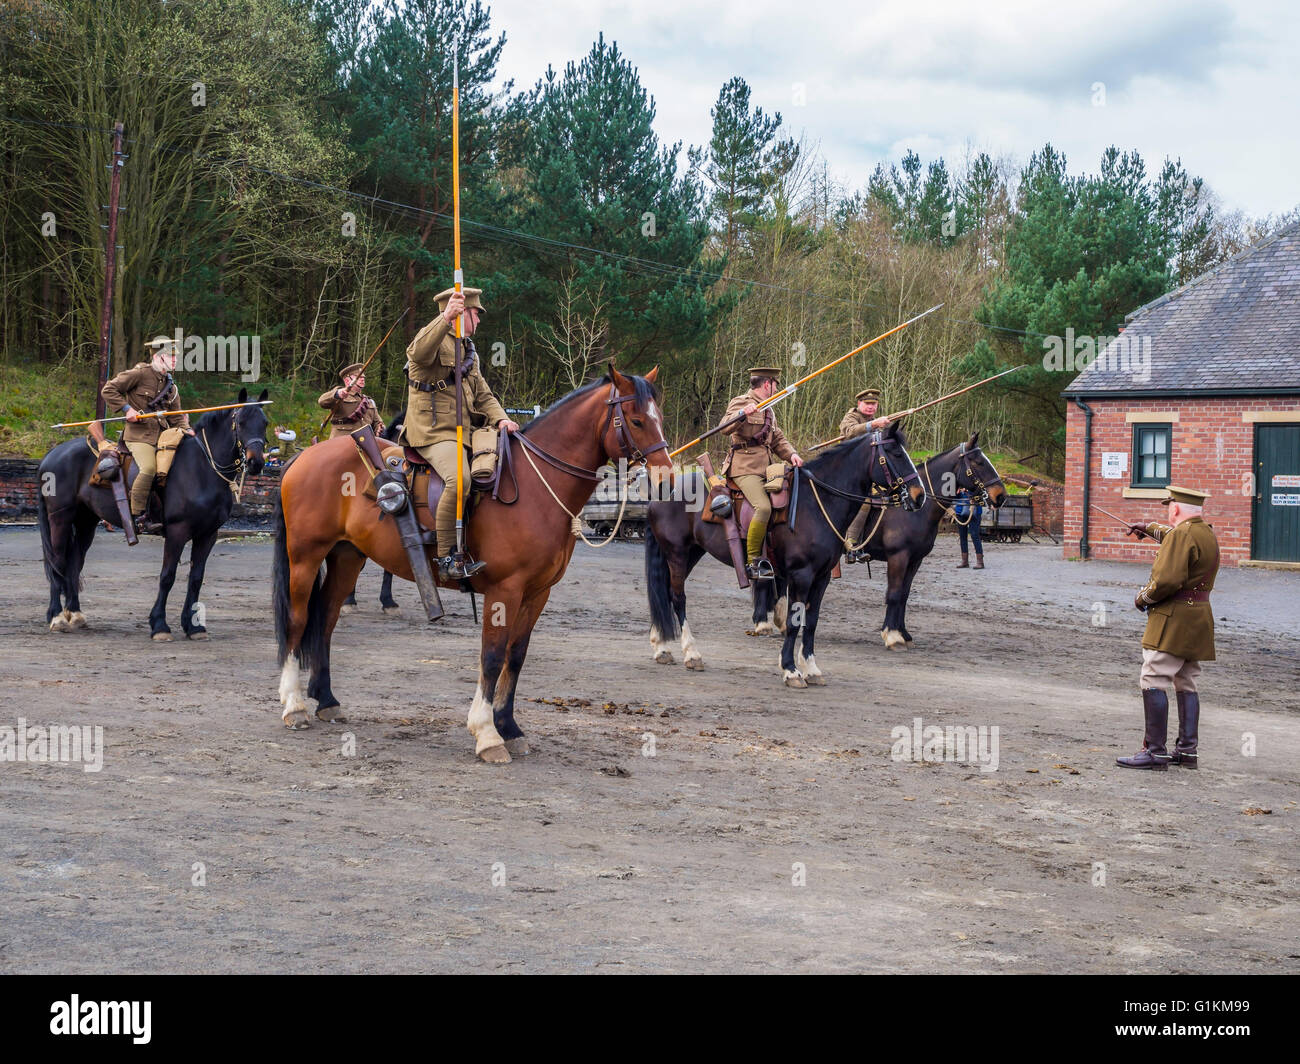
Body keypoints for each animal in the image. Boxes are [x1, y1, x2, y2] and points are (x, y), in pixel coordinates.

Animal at [37, 390, 269, 637]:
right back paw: (57, 616)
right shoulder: (178, 531)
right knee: (57, 561)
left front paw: (193, 626)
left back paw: (75, 614)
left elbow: (196, 578)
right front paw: (159, 624)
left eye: (264, 423)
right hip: (59, 519)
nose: (256, 462)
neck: (202, 467)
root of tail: (52, 454)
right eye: (241, 422)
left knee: (74, 563)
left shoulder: (208, 534)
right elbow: (167, 576)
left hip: (85, 522)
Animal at [267, 364, 665, 764]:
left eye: (658, 418)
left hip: (347, 557)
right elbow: (491, 657)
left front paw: (509, 727)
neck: (536, 485)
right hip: (305, 556)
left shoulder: (537, 593)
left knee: (326, 619)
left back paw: (326, 700)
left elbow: (515, 657)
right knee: (298, 620)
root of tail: (305, 456)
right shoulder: (505, 590)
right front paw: (487, 733)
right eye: (636, 420)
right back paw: (294, 705)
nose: (664, 476)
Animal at [644, 416, 920, 681]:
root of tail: (664, 491)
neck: (817, 502)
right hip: (677, 554)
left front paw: (811, 667)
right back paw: (691, 653)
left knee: (665, 592)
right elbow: (794, 620)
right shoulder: (801, 575)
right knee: (677, 597)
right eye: (896, 453)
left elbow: (811, 621)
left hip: (691, 553)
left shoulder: (821, 577)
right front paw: (790, 669)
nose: (919, 496)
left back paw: (661, 647)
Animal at [847, 429, 1008, 647]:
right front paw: (891, 635)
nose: (1001, 496)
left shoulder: (915, 560)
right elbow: (894, 593)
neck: (917, 509)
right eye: (979, 462)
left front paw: (903, 633)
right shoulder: (898, 557)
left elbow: (904, 595)